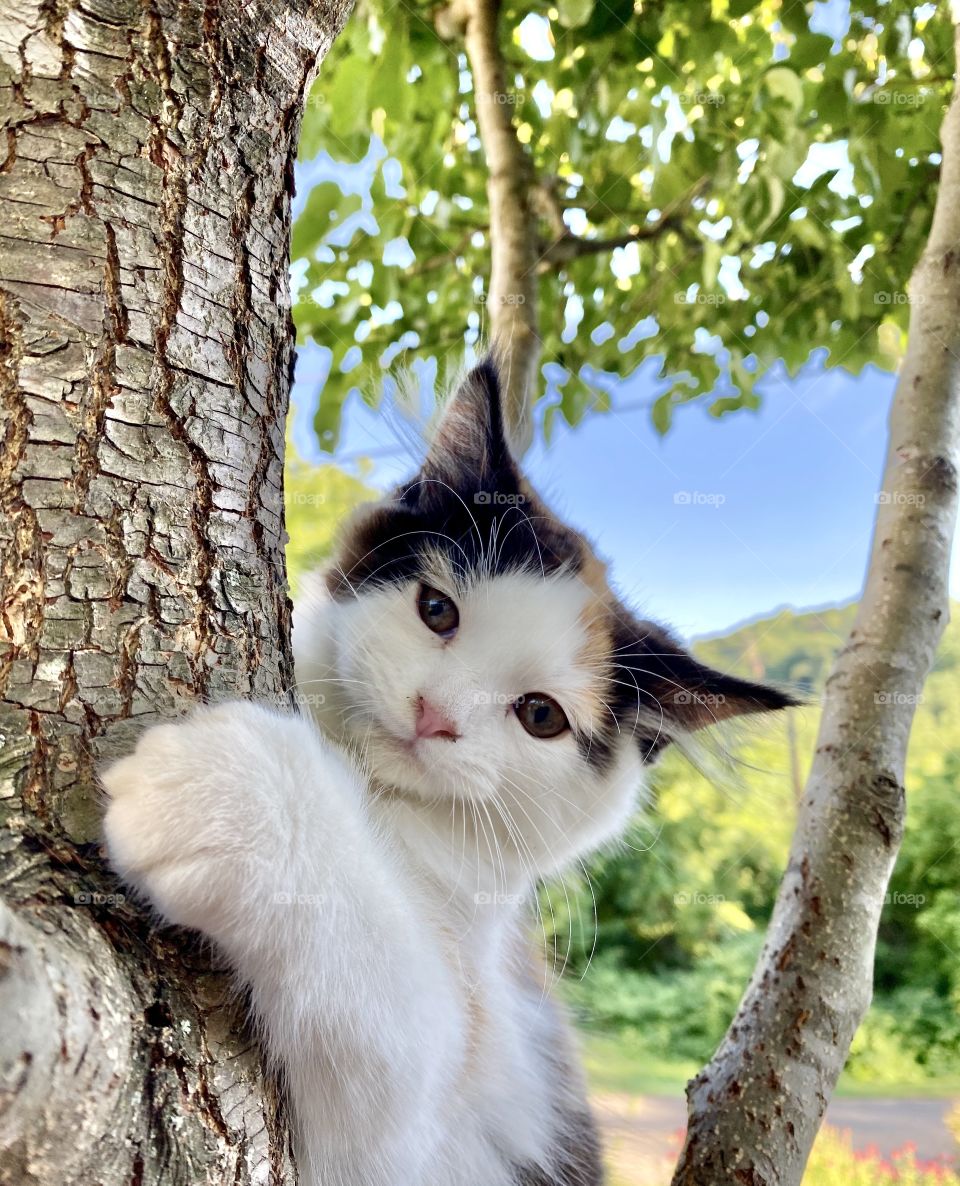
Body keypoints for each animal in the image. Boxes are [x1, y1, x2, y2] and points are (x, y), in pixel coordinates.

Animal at [103, 360, 792, 1186]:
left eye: (540, 715)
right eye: (436, 611)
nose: (435, 714)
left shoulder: (419, 1121)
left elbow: (389, 1007)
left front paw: (227, 791)